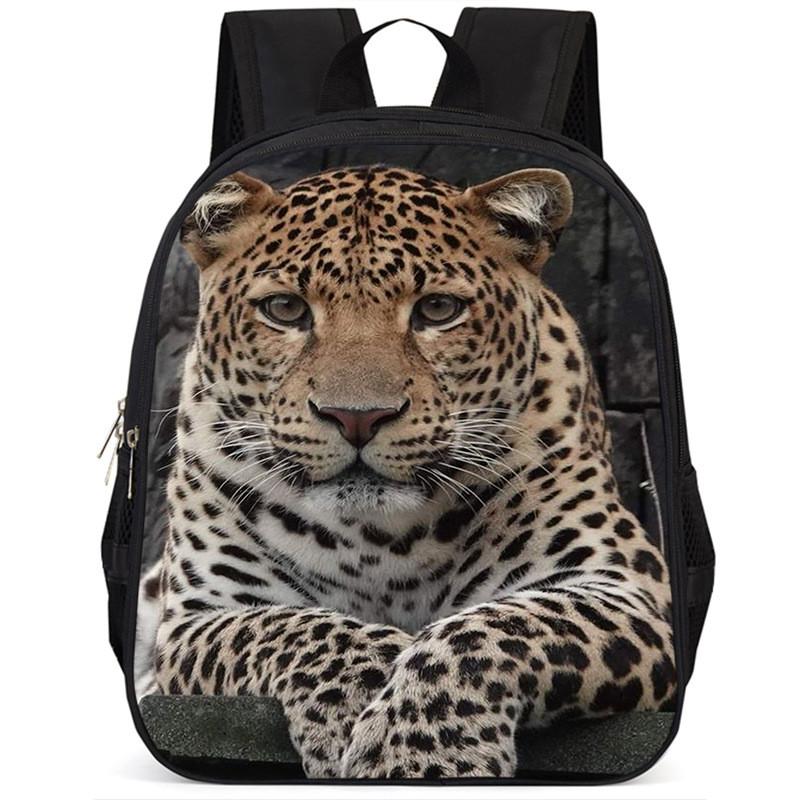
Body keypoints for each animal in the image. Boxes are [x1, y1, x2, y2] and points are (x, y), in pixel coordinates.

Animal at [135, 164, 676, 779]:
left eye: (437, 310)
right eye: (286, 310)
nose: (357, 417)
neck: (379, 542)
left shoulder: (623, 587)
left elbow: (492, 628)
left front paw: (422, 753)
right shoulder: (201, 615)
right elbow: (292, 626)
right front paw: (363, 692)